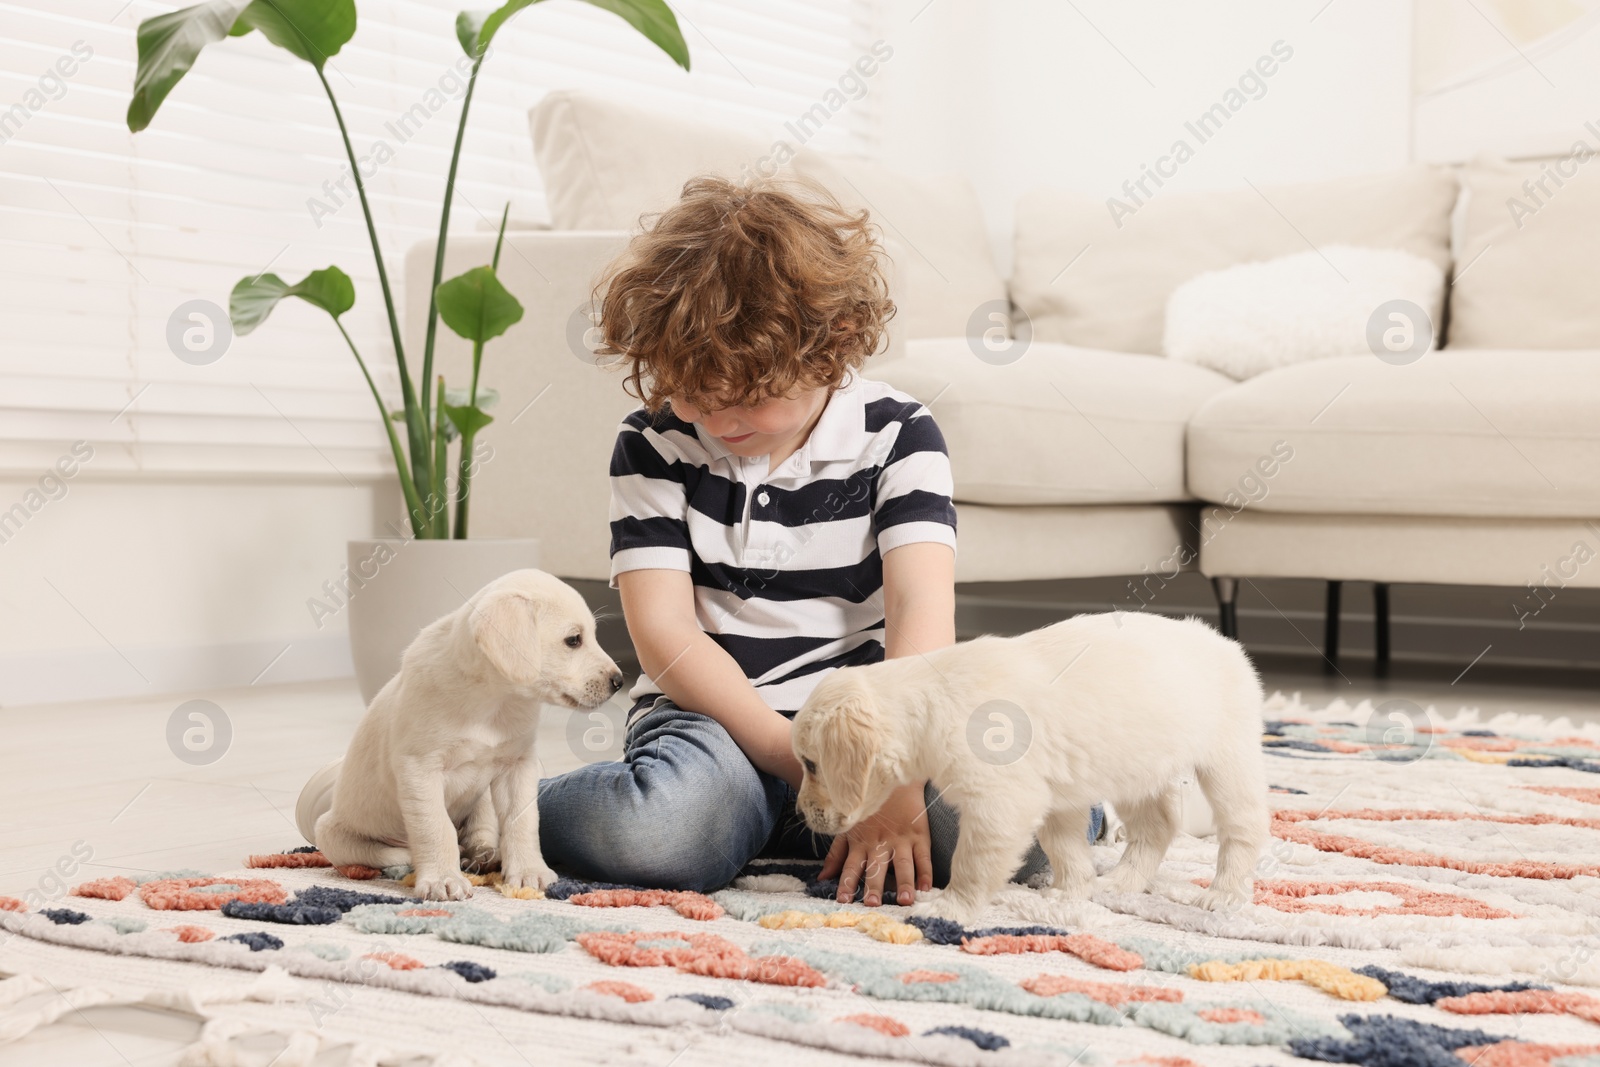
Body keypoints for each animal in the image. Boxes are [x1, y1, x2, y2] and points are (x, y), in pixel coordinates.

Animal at [312, 566, 617, 902]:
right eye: (573, 640)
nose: (618, 681)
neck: (493, 701)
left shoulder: (518, 766)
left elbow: (522, 820)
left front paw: (528, 871)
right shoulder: (420, 769)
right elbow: (435, 827)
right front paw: (442, 879)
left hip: (482, 799)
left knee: (480, 832)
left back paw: (484, 856)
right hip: (333, 833)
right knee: (395, 853)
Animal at [793, 607, 1267, 927]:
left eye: (811, 764)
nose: (800, 813)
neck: (931, 702)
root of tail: (1225, 642)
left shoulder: (1003, 803)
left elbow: (972, 864)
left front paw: (949, 908)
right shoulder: (1056, 797)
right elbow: (1065, 849)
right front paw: (1067, 895)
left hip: (1227, 759)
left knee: (1244, 828)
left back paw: (1223, 896)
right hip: (1137, 769)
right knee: (1159, 826)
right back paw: (1120, 883)